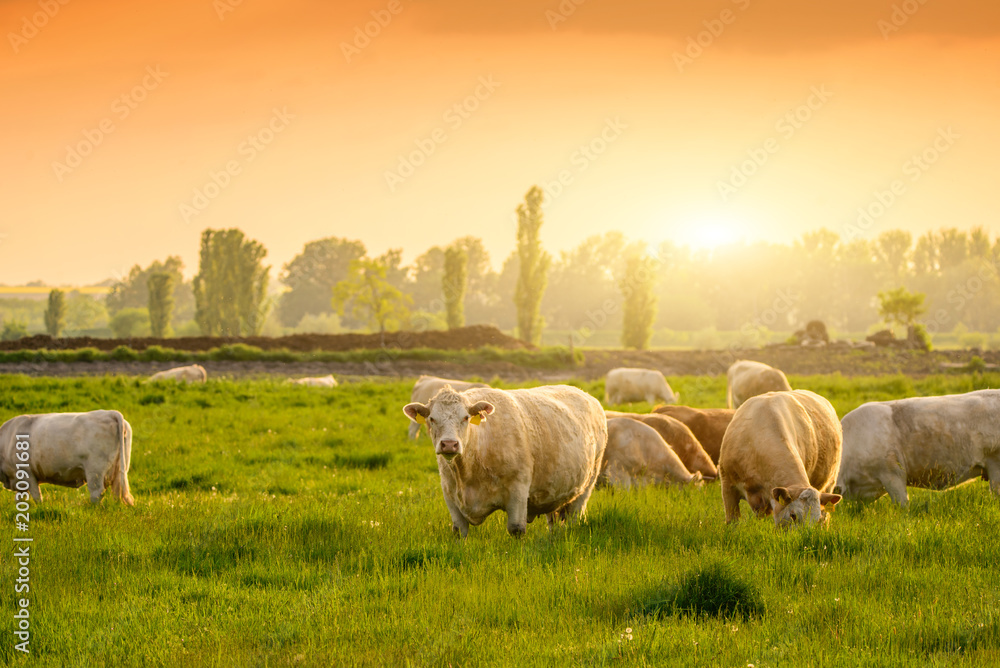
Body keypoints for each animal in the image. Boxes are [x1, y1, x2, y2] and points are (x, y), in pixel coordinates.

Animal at [0, 410, 134, 505]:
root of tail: (109, 413)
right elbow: (20, 497)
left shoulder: (27, 473)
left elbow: (36, 496)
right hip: (119, 470)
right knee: (118, 492)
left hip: (95, 470)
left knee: (97, 492)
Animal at [403, 384, 607, 538]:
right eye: (431, 418)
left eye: (466, 418)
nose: (449, 444)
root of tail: (587, 396)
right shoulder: (450, 493)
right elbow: (459, 531)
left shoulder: (518, 490)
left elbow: (516, 529)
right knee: (553, 521)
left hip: (587, 485)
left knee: (574, 516)